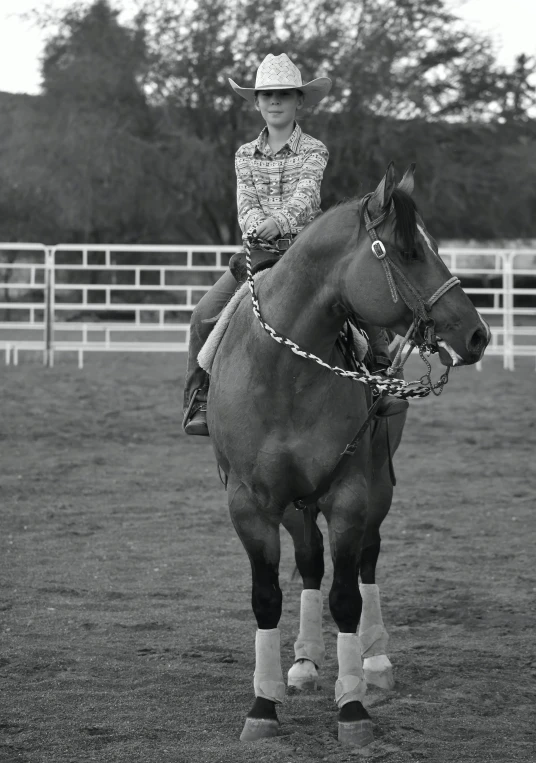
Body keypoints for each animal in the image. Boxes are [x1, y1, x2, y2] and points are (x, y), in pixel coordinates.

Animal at [206, 166, 490, 748]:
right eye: (408, 251)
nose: (477, 334)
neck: (283, 372)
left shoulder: (351, 496)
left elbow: (347, 599)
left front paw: (353, 707)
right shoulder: (250, 503)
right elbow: (267, 596)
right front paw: (263, 705)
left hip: (376, 487)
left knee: (365, 561)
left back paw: (374, 661)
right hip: (296, 505)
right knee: (312, 561)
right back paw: (303, 663)